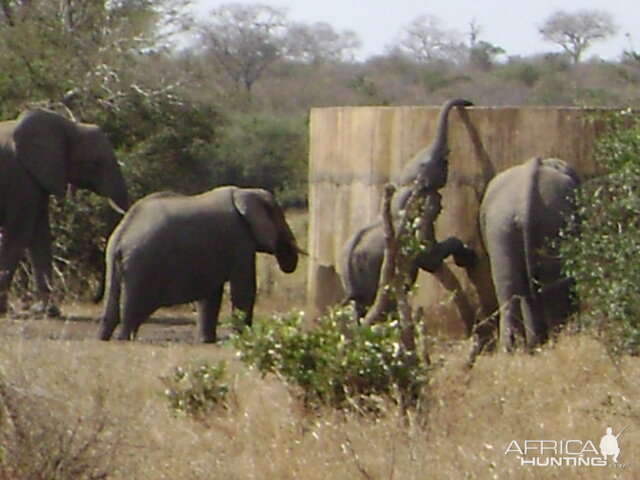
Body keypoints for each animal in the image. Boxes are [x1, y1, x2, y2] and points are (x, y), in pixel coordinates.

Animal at [0, 108, 129, 316]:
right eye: (96, 163)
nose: (94, 299)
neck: (71, 126)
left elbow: (40, 233)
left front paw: (47, 311)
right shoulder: (21, 177)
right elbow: (19, 232)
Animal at [98, 186, 302, 344]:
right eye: (280, 219)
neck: (245, 193)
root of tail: (121, 235)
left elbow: (211, 294)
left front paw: (207, 341)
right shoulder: (240, 240)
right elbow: (243, 290)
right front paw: (244, 339)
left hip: (116, 262)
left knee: (113, 304)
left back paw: (104, 337)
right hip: (142, 266)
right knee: (133, 308)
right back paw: (124, 339)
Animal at [340, 98, 476, 318]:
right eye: (439, 162)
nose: (469, 103)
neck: (406, 187)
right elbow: (430, 256)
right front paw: (466, 257)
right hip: (371, 267)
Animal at [480, 156, 580, 350]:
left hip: (500, 227)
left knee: (509, 291)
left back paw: (512, 350)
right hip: (552, 223)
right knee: (550, 286)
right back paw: (555, 342)